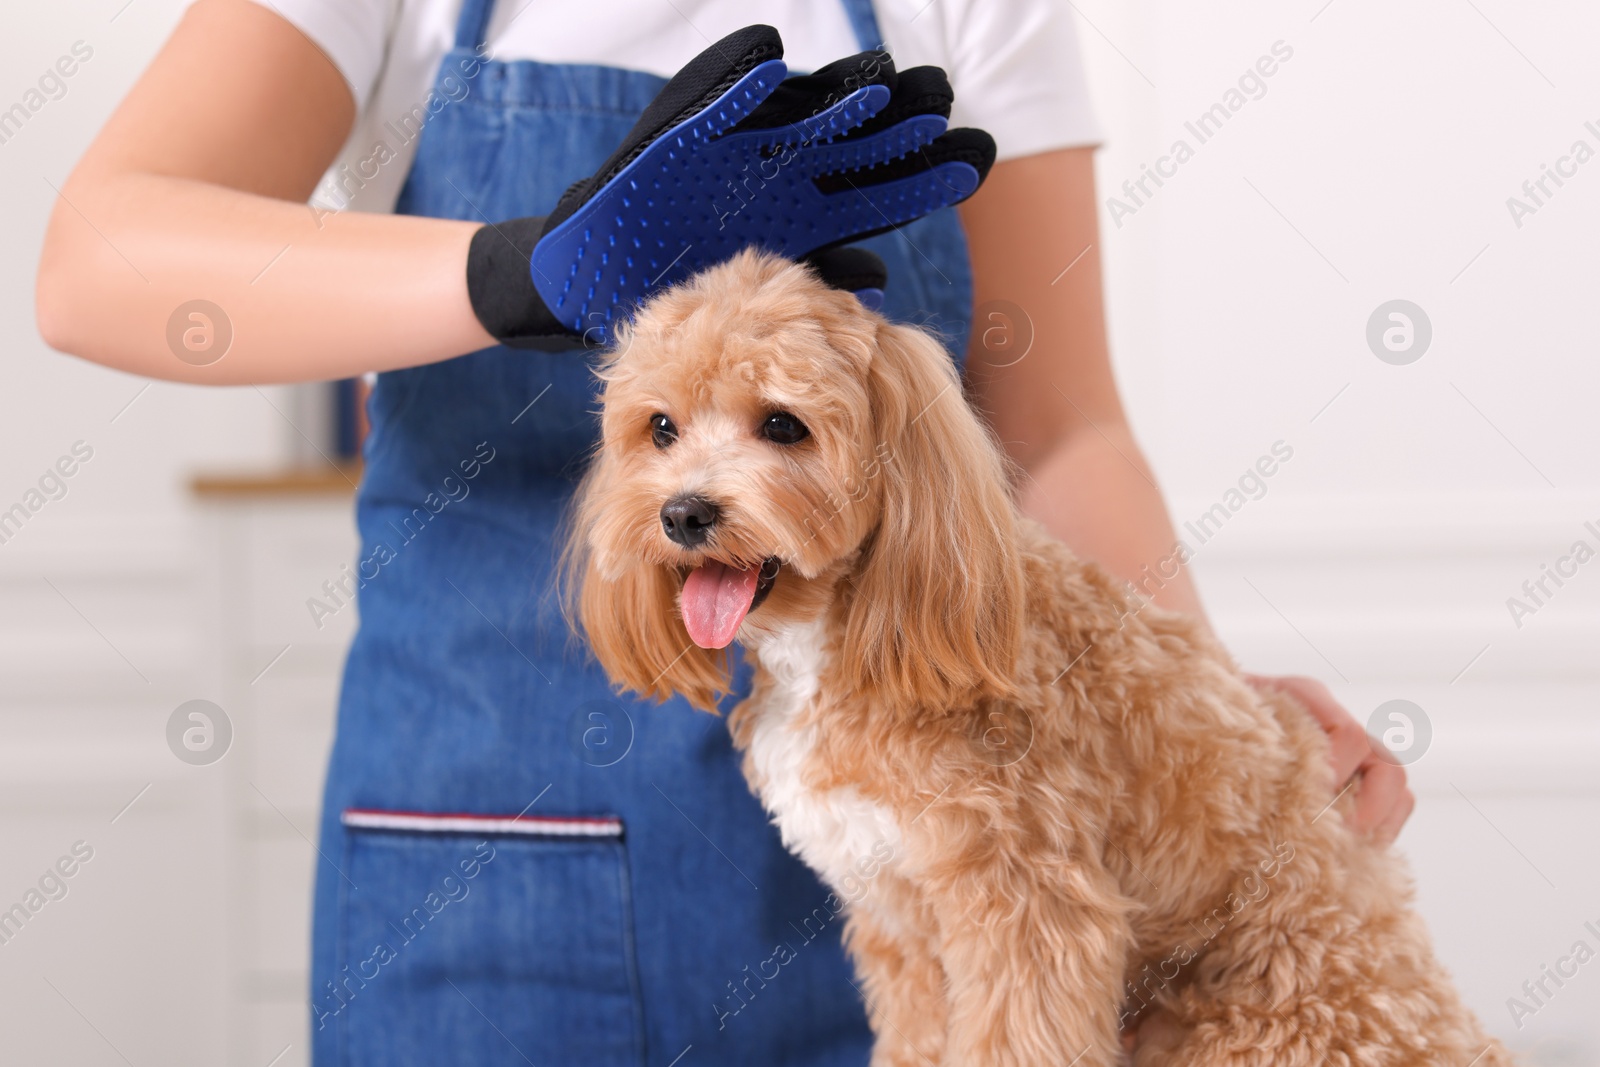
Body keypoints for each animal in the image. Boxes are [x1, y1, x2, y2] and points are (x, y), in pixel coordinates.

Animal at [566, 252, 1510, 1067]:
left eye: (781, 425)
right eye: (660, 429)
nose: (684, 513)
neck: (850, 636)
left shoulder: (1030, 908)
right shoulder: (903, 924)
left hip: (1266, 1021)